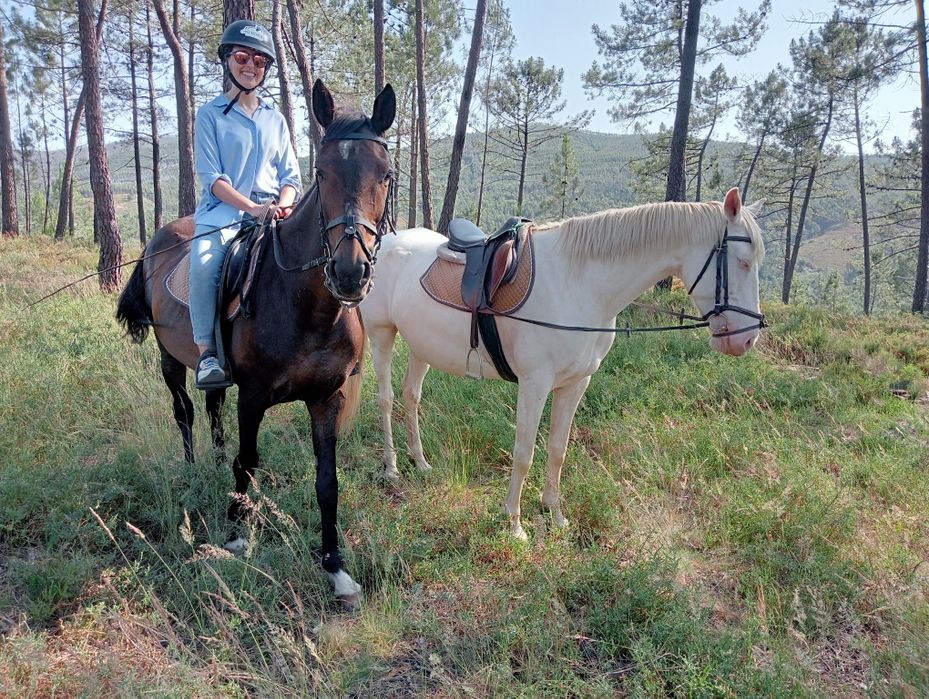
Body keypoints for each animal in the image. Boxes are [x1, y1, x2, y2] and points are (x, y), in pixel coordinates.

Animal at [116, 79, 396, 606]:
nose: (350, 273)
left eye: (386, 175)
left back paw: (212, 464)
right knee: (185, 412)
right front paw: (235, 536)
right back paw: (193, 472)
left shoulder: (327, 397)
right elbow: (247, 464)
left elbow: (327, 482)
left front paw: (336, 568)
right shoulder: (253, 397)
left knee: (212, 412)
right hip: (170, 359)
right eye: (321, 172)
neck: (306, 309)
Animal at [359, 187, 765, 539]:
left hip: (421, 346)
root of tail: (388, 243)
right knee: (387, 399)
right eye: (743, 263)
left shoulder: (575, 383)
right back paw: (392, 467)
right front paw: (514, 524)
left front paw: (554, 514)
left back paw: (420, 461)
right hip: (382, 335)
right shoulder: (534, 384)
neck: (580, 283)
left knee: (411, 397)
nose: (747, 338)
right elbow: (524, 453)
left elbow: (558, 449)